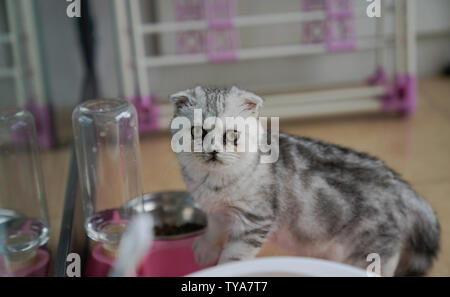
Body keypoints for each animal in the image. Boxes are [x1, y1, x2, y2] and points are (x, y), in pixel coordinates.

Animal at [169, 85, 440, 276]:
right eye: (197, 131)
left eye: (232, 135)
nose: (213, 151)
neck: (213, 183)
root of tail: (401, 184)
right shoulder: (215, 210)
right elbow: (214, 228)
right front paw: (205, 250)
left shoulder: (254, 221)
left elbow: (234, 256)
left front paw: (224, 267)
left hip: (370, 250)